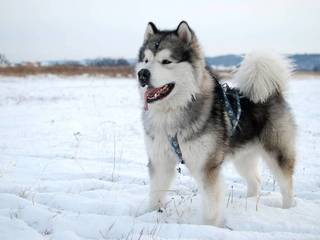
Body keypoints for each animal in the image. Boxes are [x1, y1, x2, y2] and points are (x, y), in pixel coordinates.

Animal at [135, 21, 296, 227]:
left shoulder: (207, 166)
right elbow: (156, 193)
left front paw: (210, 227)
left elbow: (211, 203)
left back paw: (289, 209)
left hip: (277, 151)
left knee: (287, 184)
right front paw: (150, 215)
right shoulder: (160, 160)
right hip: (244, 157)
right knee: (255, 181)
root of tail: (273, 91)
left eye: (166, 61)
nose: (142, 74)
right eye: (146, 60)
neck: (172, 112)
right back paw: (249, 202)